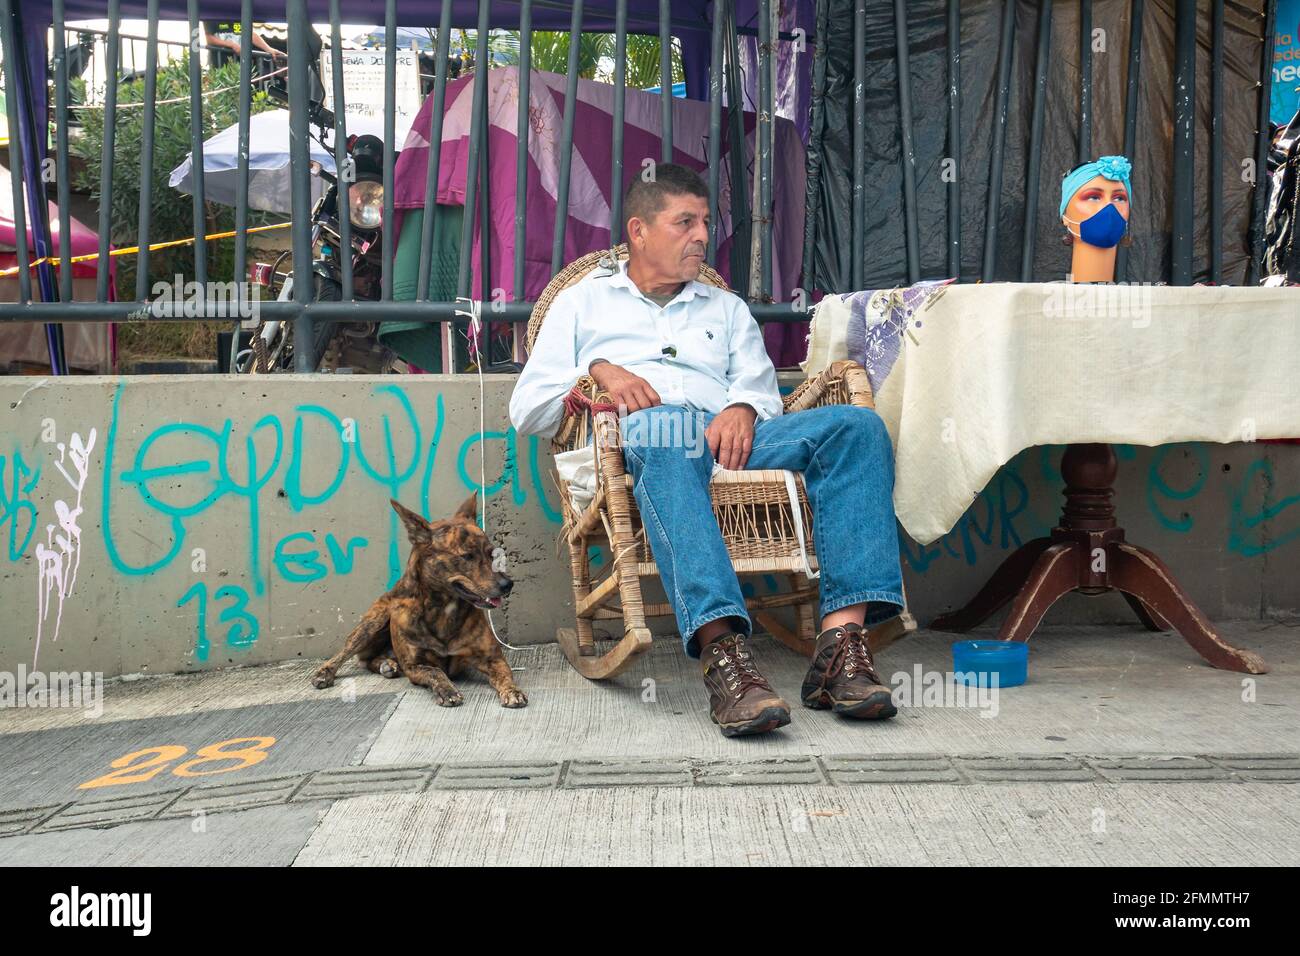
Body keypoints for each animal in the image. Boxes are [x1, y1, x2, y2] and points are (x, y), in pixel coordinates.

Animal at [308, 496, 522, 707]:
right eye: (467, 556)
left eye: (491, 553)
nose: (508, 584)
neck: (444, 609)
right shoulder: (414, 666)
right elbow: (436, 671)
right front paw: (447, 690)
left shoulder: (493, 659)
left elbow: (505, 676)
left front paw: (512, 692)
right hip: (372, 623)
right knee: (346, 653)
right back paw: (325, 673)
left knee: (370, 660)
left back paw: (387, 664)